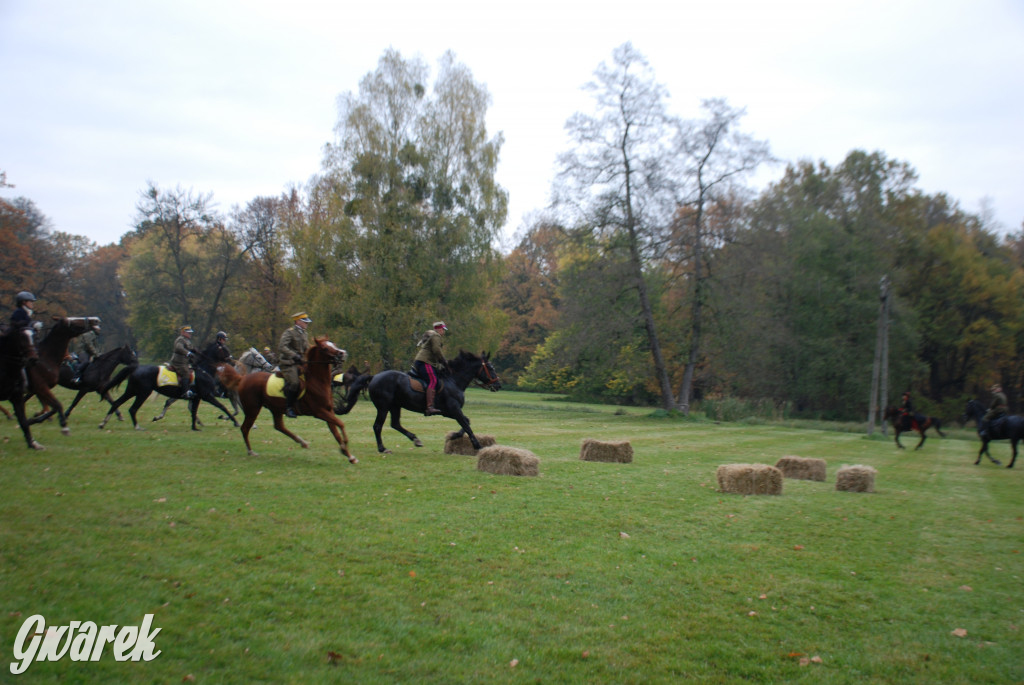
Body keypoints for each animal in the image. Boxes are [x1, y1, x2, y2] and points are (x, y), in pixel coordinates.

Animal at [101, 360, 241, 430]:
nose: (226, 391)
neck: (204, 374)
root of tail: (136, 368)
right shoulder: (207, 396)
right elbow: (223, 407)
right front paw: (235, 422)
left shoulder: (197, 397)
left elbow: (193, 411)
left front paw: (194, 427)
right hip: (142, 393)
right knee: (133, 408)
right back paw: (137, 426)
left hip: (132, 391)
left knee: (116, 403)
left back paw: (103, 423)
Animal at [214, 333, 358, 462]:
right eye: (325, 348)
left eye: (333, 344)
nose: (342, 353)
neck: (316, 381)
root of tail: (243, 378)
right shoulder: (319, 412)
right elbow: (341, 424)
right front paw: (345, 446)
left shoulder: (328, 411)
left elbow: (336, 432)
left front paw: (348, 455)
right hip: (253, 409)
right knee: (245, 428)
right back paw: (251, 451)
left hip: (275, 409)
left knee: (279, 426)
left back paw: (302, 442)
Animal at [337, 352, 501, 454]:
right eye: (490, 367)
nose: (498, 385)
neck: (453, 380)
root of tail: (374, 376)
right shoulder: (454, 409)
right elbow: (467, 425)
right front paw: (477, 445)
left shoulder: (448, 412)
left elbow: (466, 422)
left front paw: (454, 436)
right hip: (383, 407)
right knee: (378, 426)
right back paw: (383, 448)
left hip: (395, 406)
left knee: (395, 424)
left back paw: (415, 440)